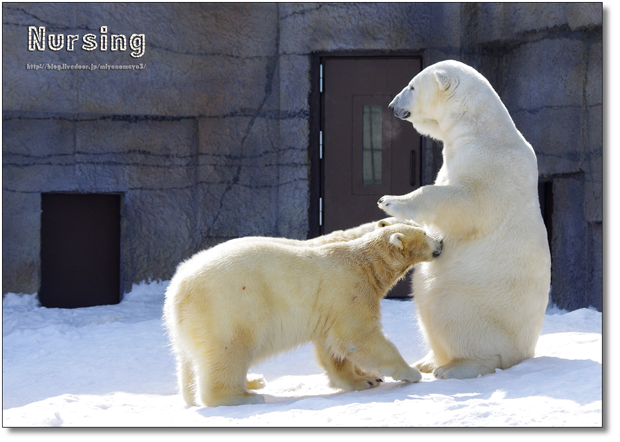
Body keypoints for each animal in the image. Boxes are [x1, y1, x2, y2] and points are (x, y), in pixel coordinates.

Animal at [162, 223, 444, 406]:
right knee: (230, 351)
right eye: (424, 232)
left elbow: (332, 346)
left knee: (188, 360)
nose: (441, 242)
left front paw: (363, 379)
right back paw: (244, 396)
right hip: (230, 308)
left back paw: (241, 384)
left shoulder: (330, 306)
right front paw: (410, 372)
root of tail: (178, 288)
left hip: (191, 323)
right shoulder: (348, 290)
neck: (363, 262)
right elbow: (358, 337)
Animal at [378, 58, 552, 380]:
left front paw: (391, 201)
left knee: (451, 313)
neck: (480, 130)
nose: (392, 105)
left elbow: (468, 204)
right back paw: (428, 361)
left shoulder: (492, 166)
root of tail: (523, 353)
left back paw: (453, 368)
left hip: (477, 301)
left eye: (411, 86)